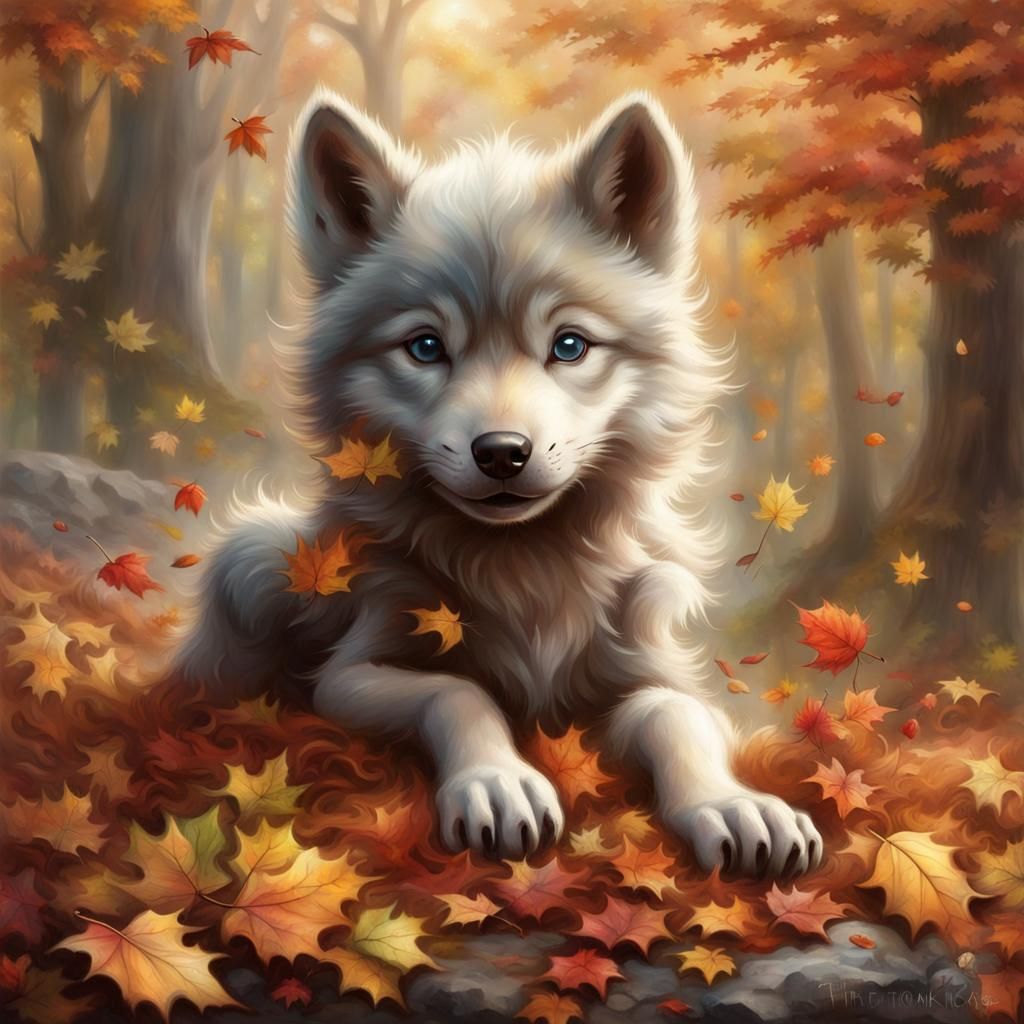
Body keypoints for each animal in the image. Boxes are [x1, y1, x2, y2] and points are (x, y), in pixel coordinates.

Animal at [178, 89, 822, 877]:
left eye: (569, 346)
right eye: (426, 347)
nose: (503, 453)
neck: (526, 576)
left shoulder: (651, 672)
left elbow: (678, 718)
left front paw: (732, 805)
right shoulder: (352, 673)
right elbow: (457, 692)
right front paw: (498, 781)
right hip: (254, 560)